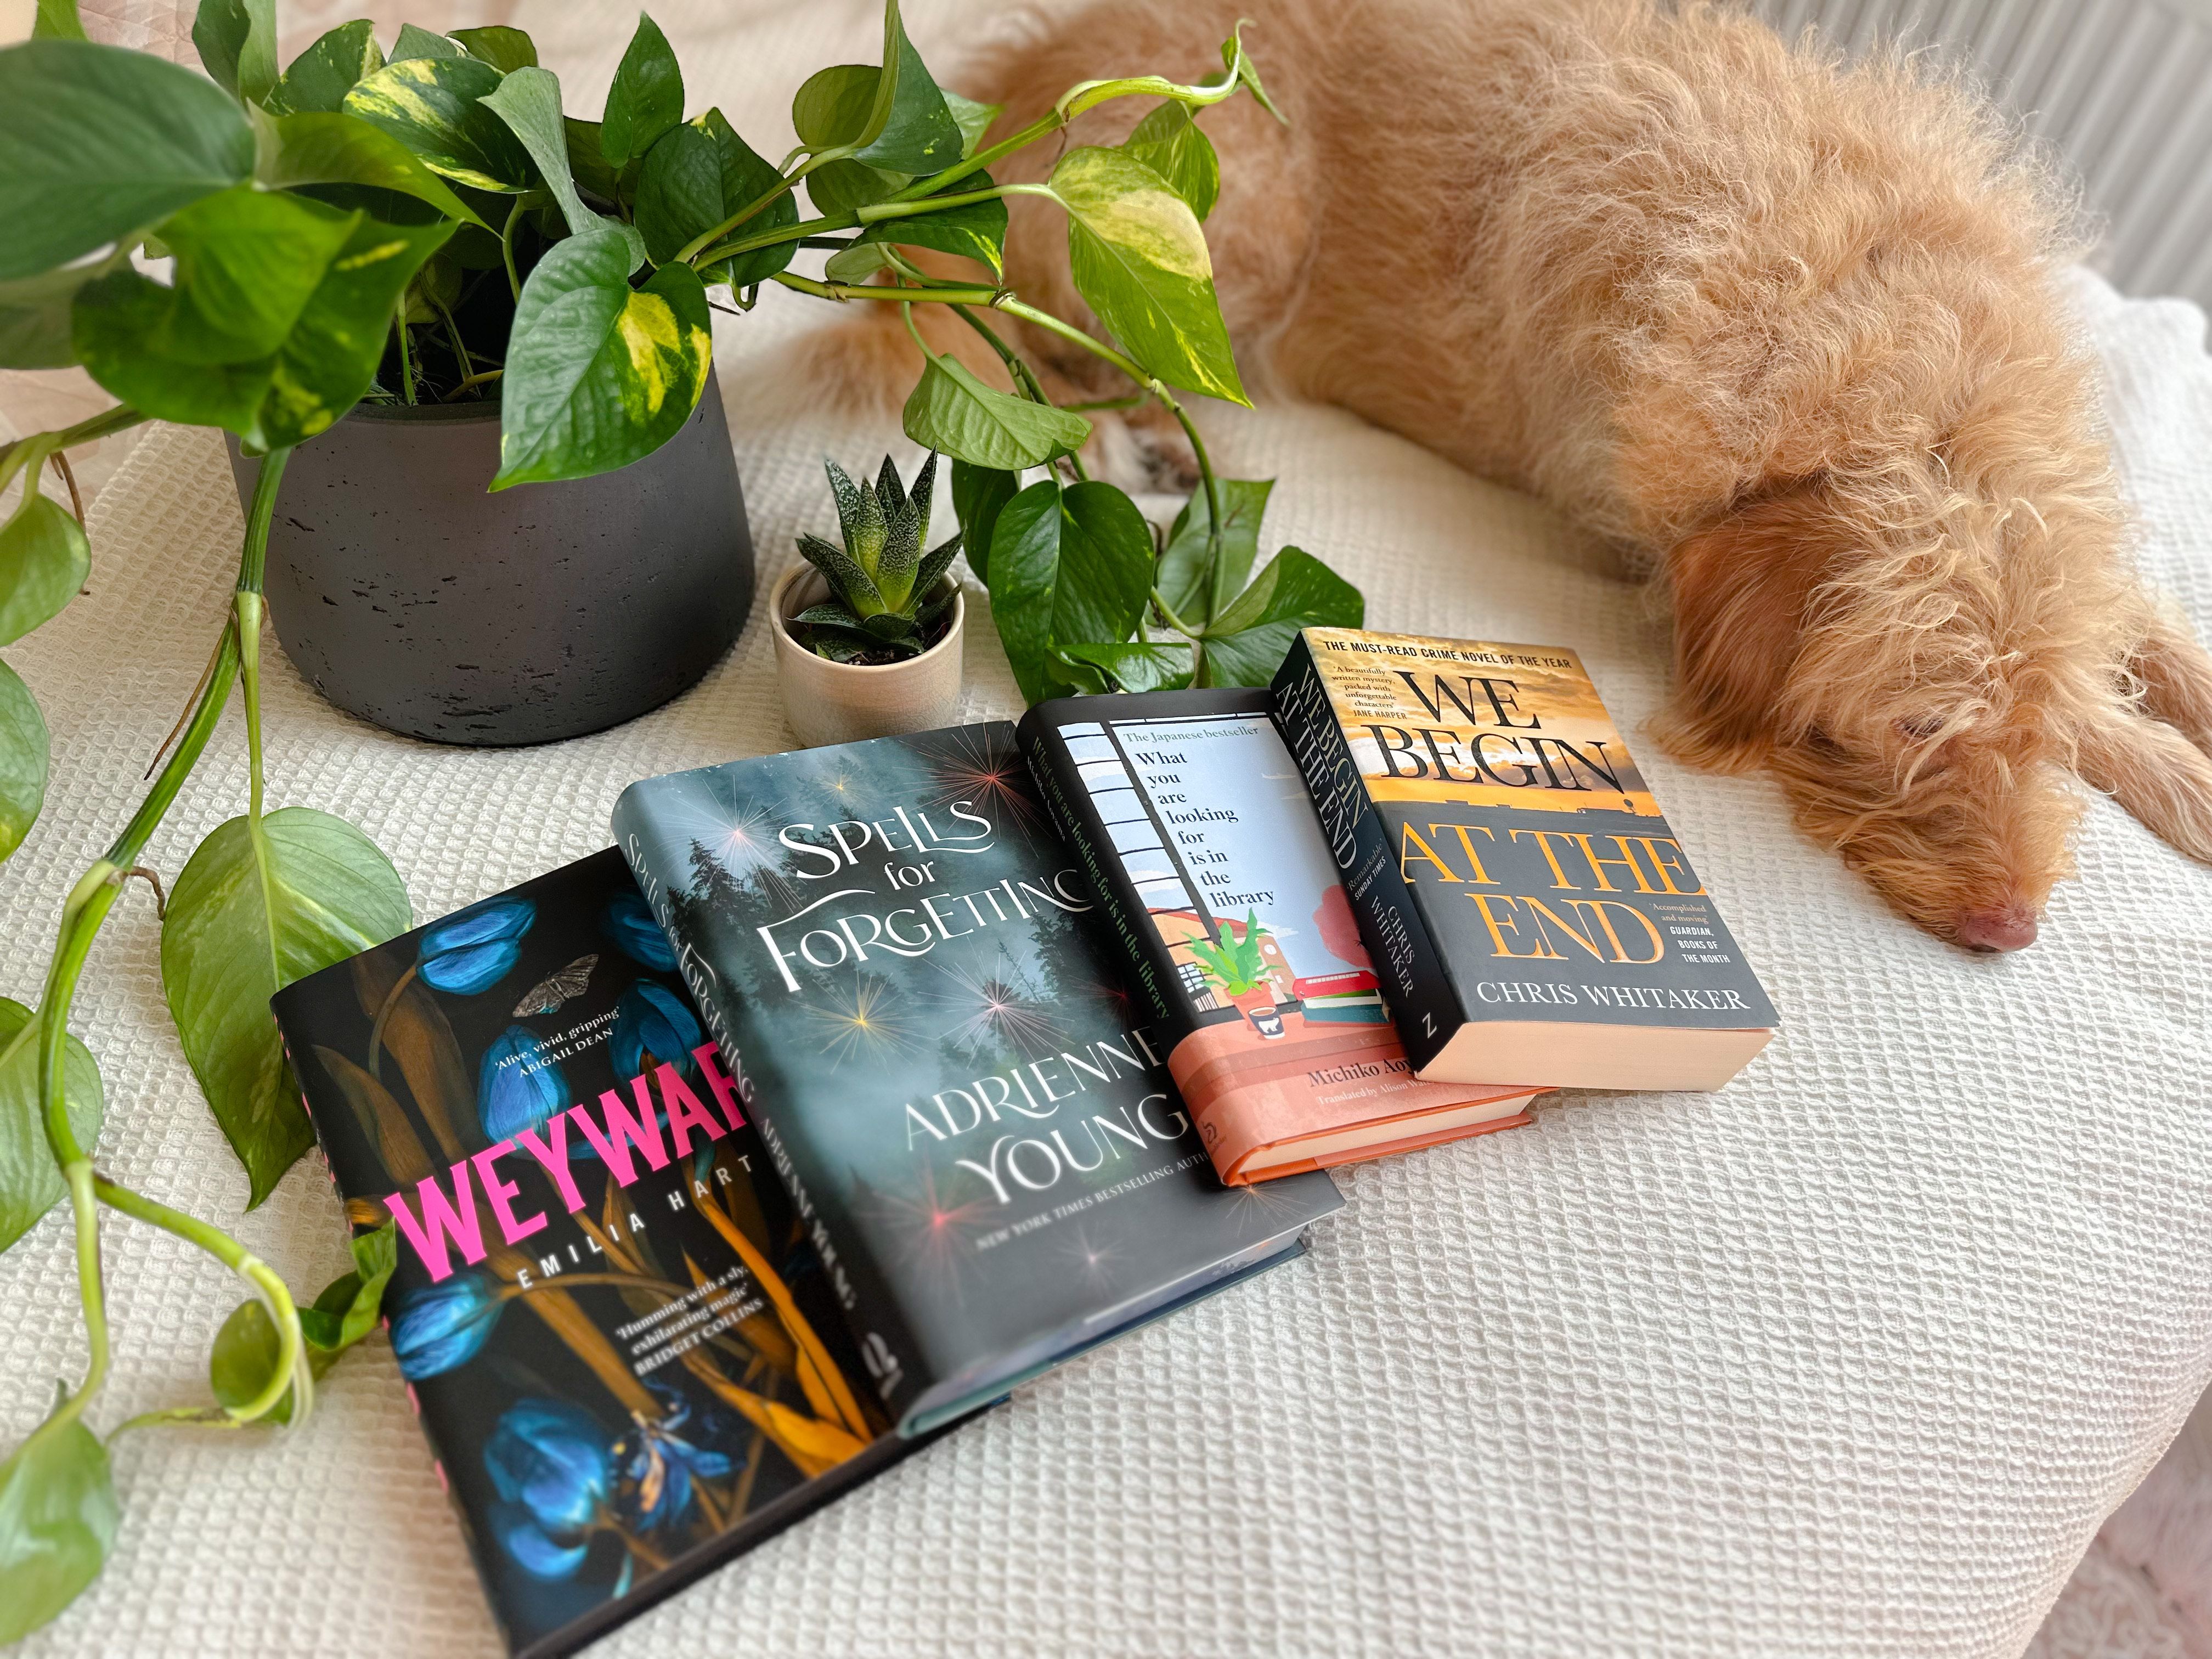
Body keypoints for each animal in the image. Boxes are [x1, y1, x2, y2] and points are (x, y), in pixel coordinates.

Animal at [792, 0, 2212, 946]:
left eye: (2052, 732)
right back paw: (1112, 437)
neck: (1888, 357)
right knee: (1012, 338)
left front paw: (2171, 753)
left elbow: (2150, 639)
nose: (2012, 929)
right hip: (1194, 224)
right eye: (1915, 730)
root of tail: (986, 136)